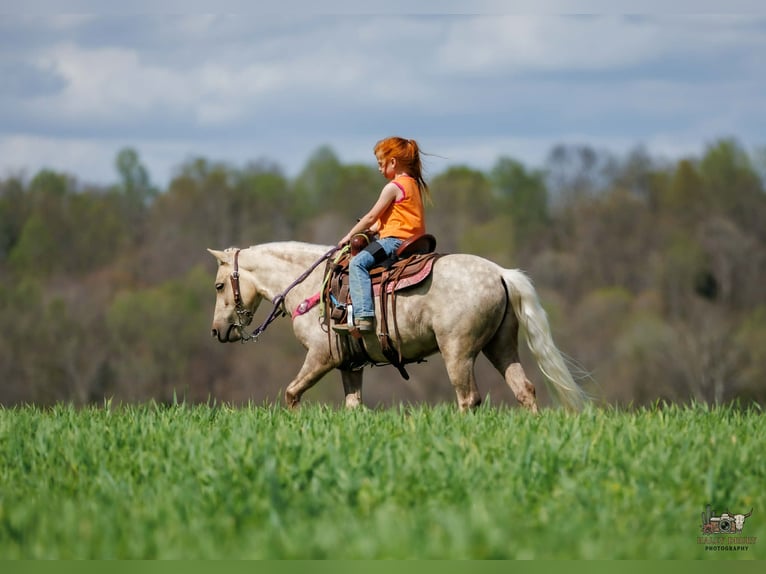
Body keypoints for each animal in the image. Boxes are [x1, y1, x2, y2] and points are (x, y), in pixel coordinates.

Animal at [208, 241, 587, 412]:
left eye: (218, 286)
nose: (217, 331)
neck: (312, 287)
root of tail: (500, 273)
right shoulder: (350, 365)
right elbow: (353, 405)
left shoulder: (320, 358)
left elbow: (291, 393)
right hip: (501, 347)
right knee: (525, 389)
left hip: (458, 352)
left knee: (468, 397)